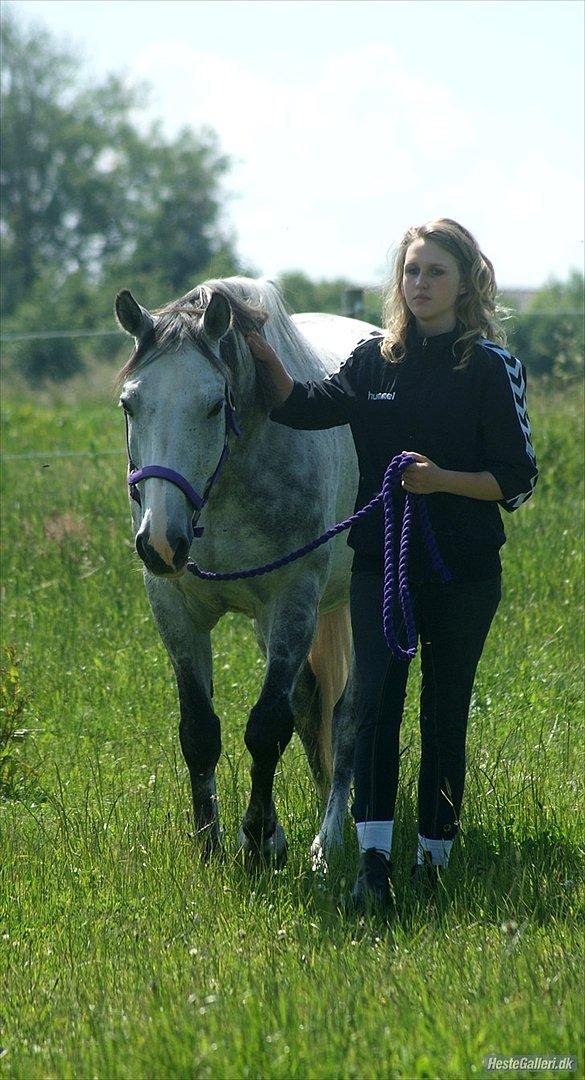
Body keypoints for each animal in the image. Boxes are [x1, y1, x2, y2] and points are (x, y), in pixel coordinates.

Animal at [116, 278, 379, 868]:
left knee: (347, 718)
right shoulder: (175, 608)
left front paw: (257, 840)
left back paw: (328, 839)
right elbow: (200, 730)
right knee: (309, 703)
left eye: (216, 404)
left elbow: (265, 727)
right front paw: (210, 843)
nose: (161, 541)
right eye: (129, 404)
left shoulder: (292, 601)